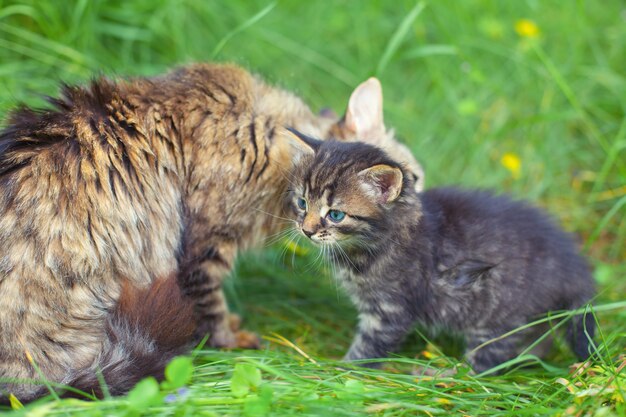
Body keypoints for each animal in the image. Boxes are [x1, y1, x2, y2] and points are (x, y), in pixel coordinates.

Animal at [286, 133, 592, 370]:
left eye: (336, 215)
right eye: (302, 203)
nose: (307, 230)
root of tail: (573, 267)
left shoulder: (391, 309)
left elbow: (368, 348)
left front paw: (337, 373)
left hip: (499, 316)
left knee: (486, 364)